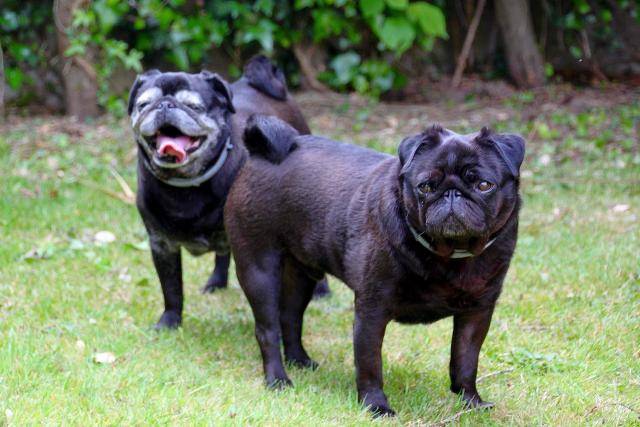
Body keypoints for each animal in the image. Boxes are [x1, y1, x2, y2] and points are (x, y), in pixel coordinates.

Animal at [128, 56, 329, 330]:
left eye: (194, 106)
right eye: (144, 104)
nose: (165, 105)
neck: (187, 186)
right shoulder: (162, 245)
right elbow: (171, 289)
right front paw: (170, 322)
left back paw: (322, 290)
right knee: (222, 256)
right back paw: (217, 282)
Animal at [224, 115, 524, 416]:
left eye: (484, 185)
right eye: (425, 187)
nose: (452, 194)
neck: (451, 254)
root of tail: (260, 152)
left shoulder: (477, 313)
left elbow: (465, 361)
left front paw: (471, 401)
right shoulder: (372, 311)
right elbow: (370, 363)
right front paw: (375, 405)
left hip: (300, 275)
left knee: (291, 318)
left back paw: (301, 361)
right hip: (259, 271)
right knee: (268, 329)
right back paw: (278, 379)